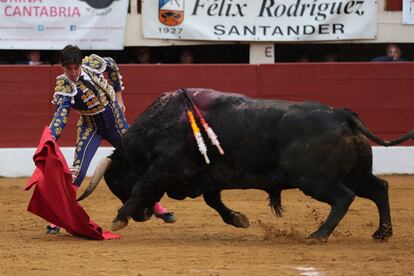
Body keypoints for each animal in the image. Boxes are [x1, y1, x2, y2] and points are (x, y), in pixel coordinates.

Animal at [77, 88, 414, 239]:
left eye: (118, 182)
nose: (143, 215)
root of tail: (341, 114)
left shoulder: (167, 167)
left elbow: (144, 184)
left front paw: (119, 217)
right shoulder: (206, 175)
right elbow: (214, 201)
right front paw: (239, 219)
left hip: (314, 180)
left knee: (344, 197)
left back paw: (319, 234)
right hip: (355, 172)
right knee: (379, 188)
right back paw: (382, 233)